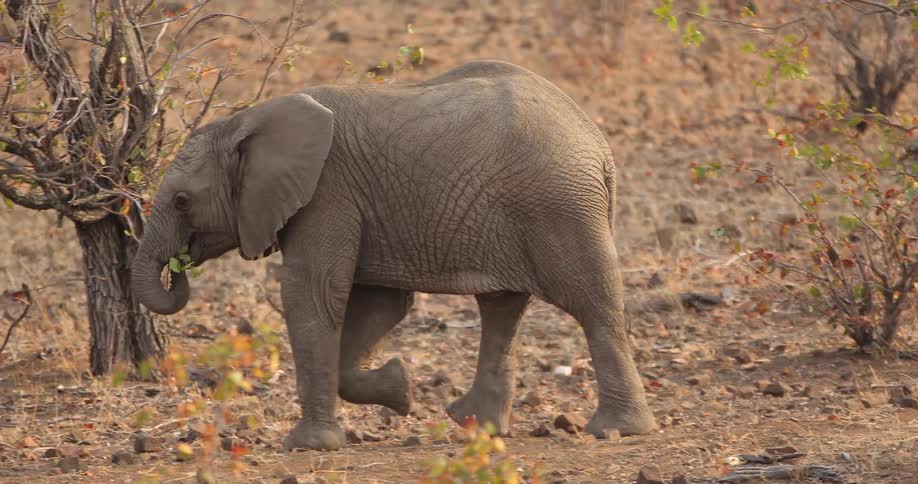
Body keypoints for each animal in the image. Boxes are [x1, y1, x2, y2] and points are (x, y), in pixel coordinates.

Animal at [131, 60, 656, 451]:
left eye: (182, 202)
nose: (179, 266)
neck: (245, 121)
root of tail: (599, 144)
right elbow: (378, 304)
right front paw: (402, 389)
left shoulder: (328, 193)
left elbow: (312, 294)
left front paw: (309, 446)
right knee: (503, 308)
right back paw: (475, 425)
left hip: (558, 205)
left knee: (592, 302)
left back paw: (616, 430)